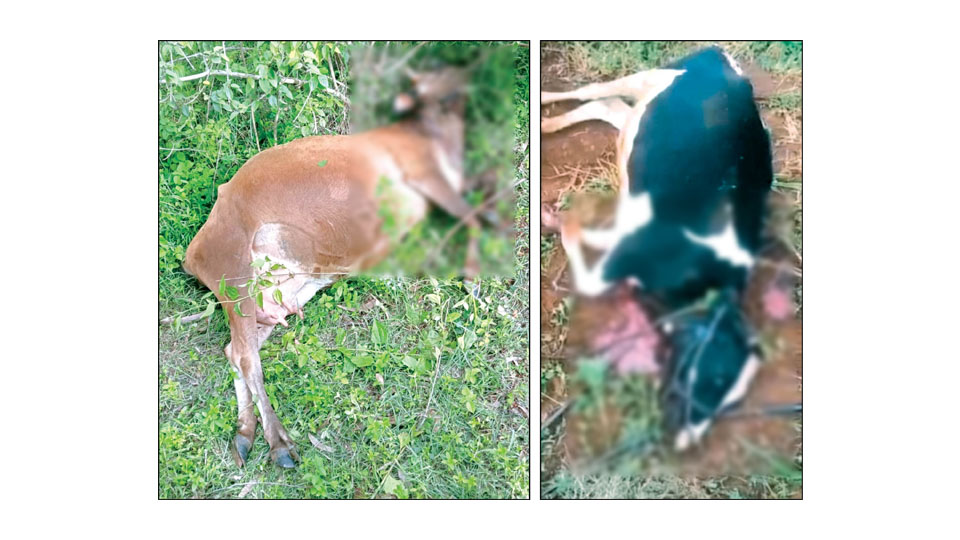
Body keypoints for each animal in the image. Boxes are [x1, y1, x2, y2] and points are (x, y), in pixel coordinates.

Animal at [182, 67, 480, 468]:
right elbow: (472, 215)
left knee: (236, 349)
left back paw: (245, 435)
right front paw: (473, 278)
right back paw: (279, 445)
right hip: (234, 270)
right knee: (245, 355)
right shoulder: (425, 174)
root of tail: (193, 252)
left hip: (286, 291)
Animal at [542, 47, 774, 450]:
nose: (684, 443)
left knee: (609, 109)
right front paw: (561, 221)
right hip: (652, 76)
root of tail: (722, 56)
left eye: (731, 402)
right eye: (711, 379)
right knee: (595, 91)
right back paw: (543, 111)